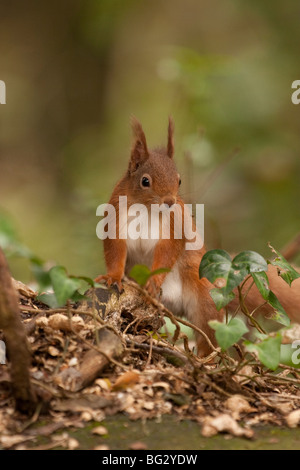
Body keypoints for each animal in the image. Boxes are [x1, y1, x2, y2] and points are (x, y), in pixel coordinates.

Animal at [95, 117, 300, 356]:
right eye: (145, 181)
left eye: (179, 180)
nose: (170, 201)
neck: (146, 209)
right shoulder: (115, 220)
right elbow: (115, 251)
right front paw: (114, 277)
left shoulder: (174, 226)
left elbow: (168, 251)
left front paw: (153, 281)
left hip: (206, 301)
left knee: (209, 337)